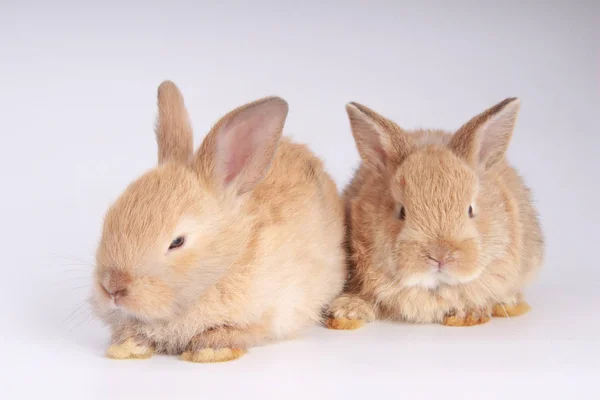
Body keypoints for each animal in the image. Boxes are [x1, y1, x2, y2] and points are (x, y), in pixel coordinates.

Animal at [92, 81, 346, 362]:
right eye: (109, 217)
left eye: (177, 242)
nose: (112, 287)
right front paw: (127, 346)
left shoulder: (272, 313)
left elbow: (240, 330)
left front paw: (210, 350)